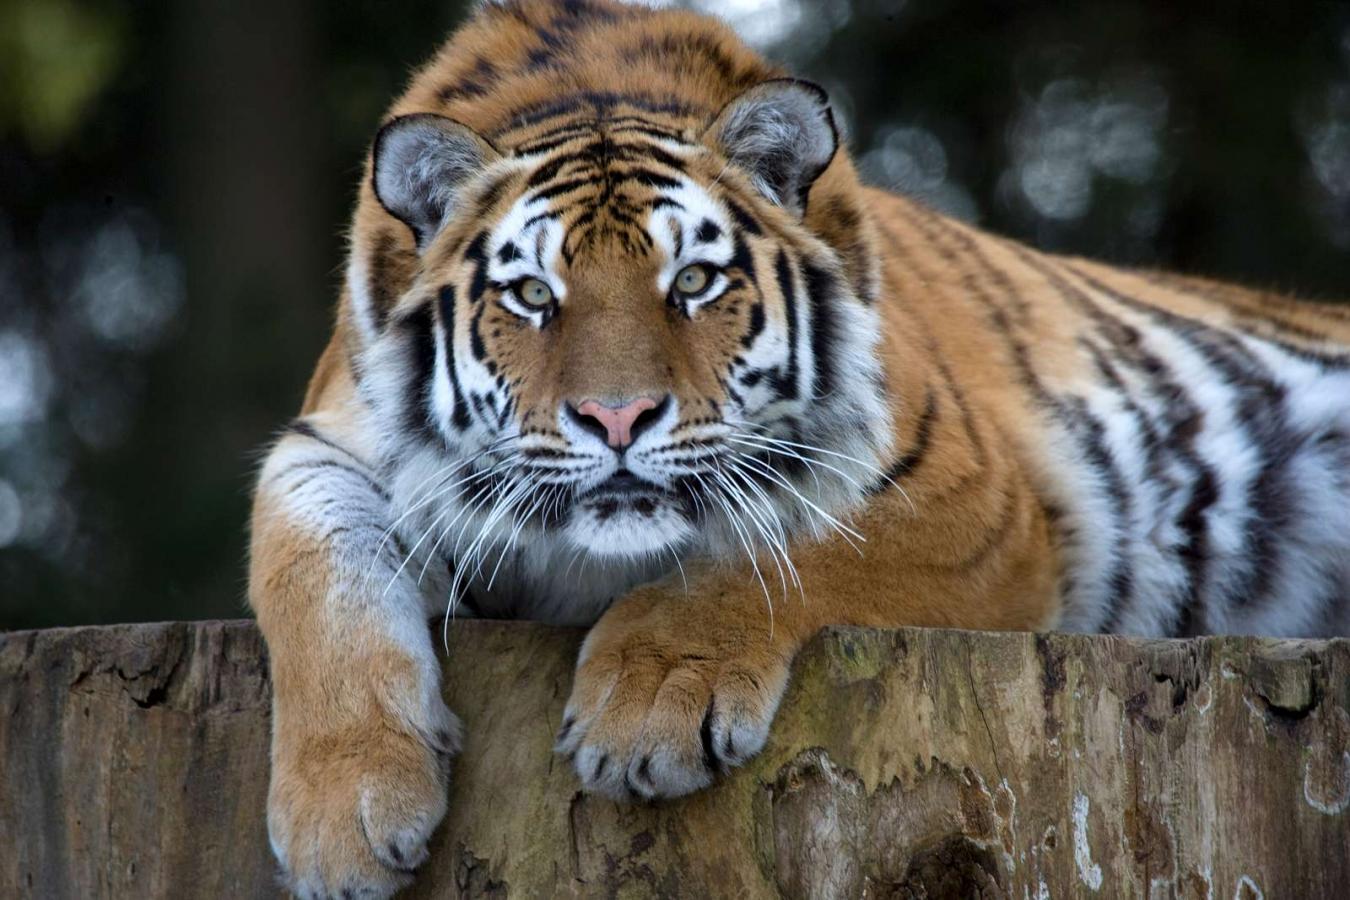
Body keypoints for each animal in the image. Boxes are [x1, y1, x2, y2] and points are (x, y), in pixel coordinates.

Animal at [247, 0, 1350, 896]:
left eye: (693, 283)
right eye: (531, 295)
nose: (617, 419)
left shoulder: (971, 495)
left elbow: (784, 552)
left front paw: (649, 700)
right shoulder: (325, 441)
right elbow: (312, 569)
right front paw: (341, 814)